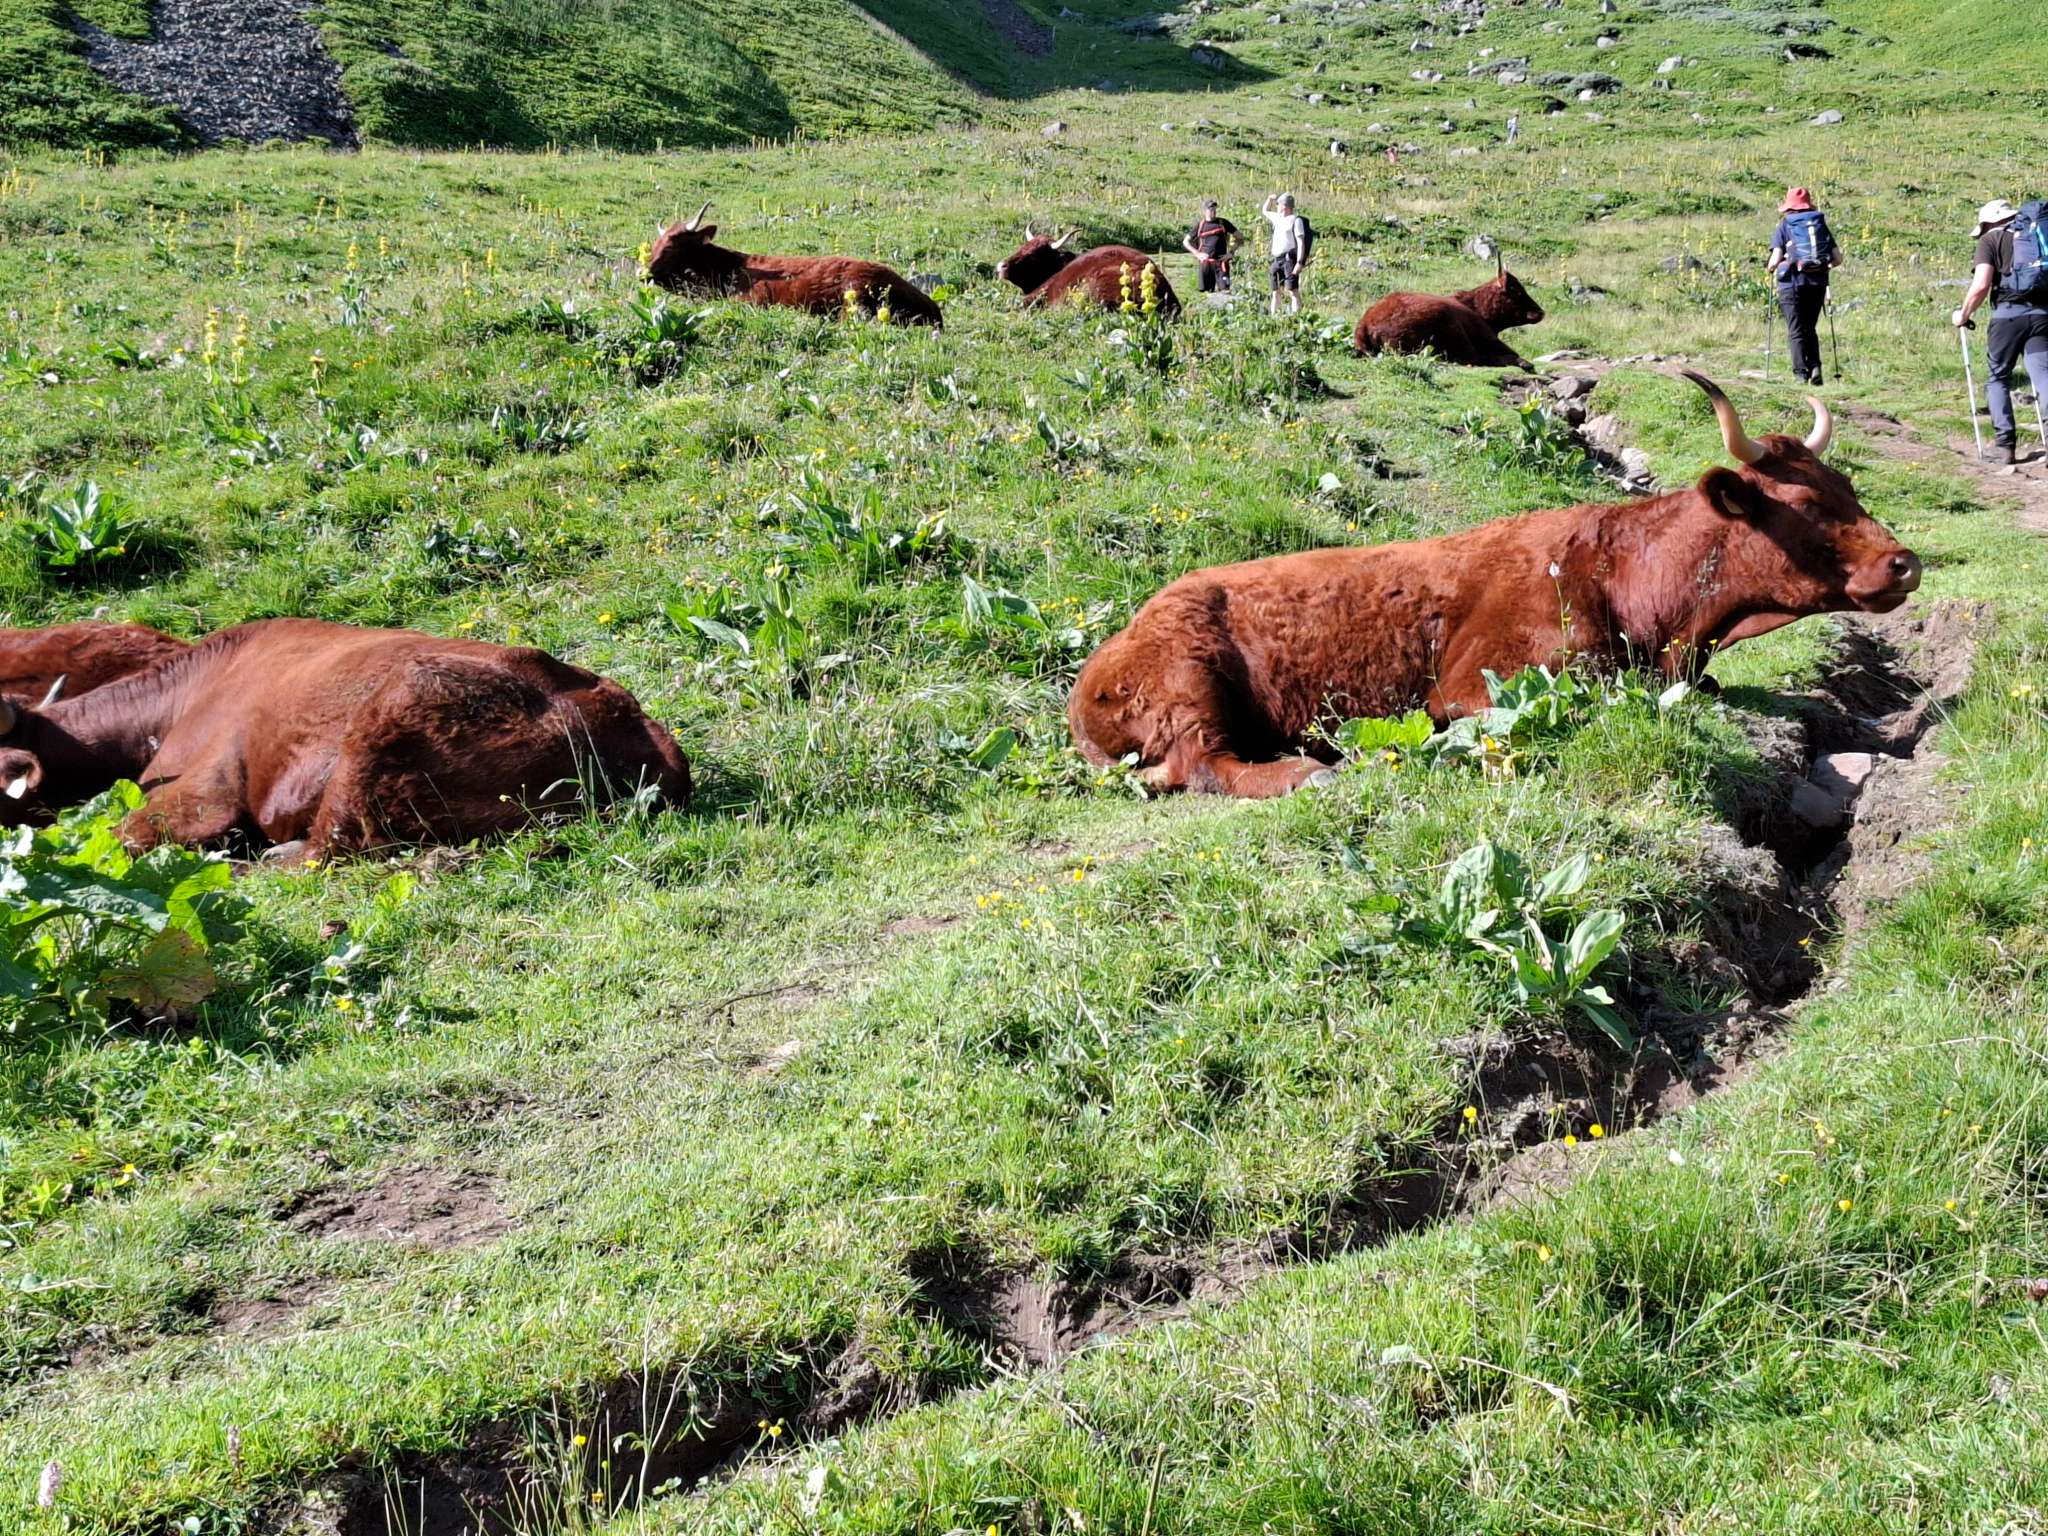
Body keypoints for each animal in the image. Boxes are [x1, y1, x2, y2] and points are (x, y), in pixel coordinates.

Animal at [1067, 372, 1921, 798]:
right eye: (1806, 504)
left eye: (1847, 486)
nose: (1904, 562)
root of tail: (1103, 662)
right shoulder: (1479, 689)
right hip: (1190, 686)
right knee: (1205, 765)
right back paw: (1308, 770)